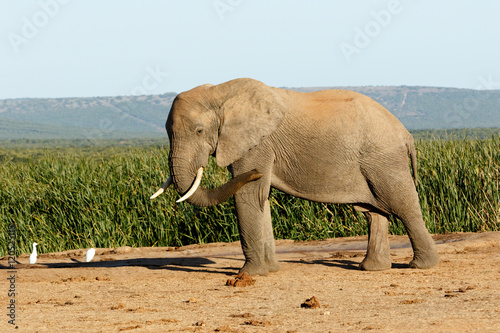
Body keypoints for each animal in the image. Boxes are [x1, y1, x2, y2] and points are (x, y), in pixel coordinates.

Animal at [150, 78, 440, 274]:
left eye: (199, 131)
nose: (256, 172)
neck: (220, 92)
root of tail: (407, 134)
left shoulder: (257, 145)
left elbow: (249, 195)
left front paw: (248, 275)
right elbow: (261, 198)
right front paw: (270, 271)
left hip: (384, 160)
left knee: (402, 205)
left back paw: (420, 266)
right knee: (373, 212)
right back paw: (371, 268)